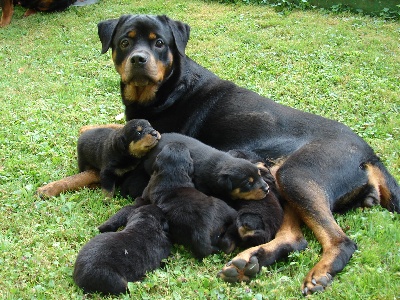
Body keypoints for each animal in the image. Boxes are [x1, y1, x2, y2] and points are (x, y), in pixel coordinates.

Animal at [94, 14, 400, 296]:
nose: (139, 59)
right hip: (280, 182)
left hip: (295, 174)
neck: (168, 89)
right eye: (125, 43)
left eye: (159, 43)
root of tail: (370, 155)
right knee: (296, 238)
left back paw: (318, 272)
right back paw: (252, 260)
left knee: (341, 240)